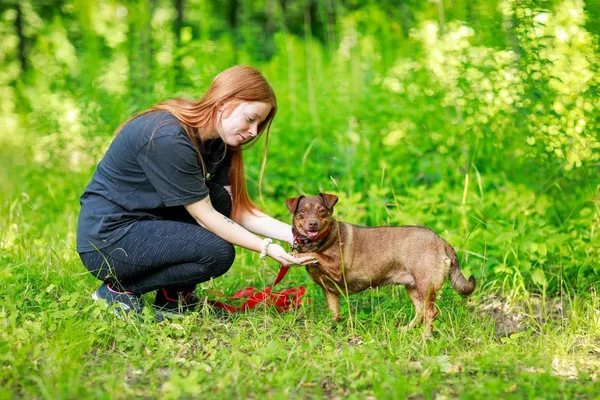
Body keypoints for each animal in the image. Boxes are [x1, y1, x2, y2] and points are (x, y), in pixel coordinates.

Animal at [288, 192, 478, 336]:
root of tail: (442, 242)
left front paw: (299, 254)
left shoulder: (336, 268)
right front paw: (330, 329)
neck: (320, 240)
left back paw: (425, 337)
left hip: (426, 285)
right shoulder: (330, 291)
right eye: (302, 211)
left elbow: (316, 254)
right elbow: (334, 314)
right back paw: (407, 329)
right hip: (413, 287)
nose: (313, 224)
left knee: (431, 313)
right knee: (421, 311)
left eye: (322, 211)